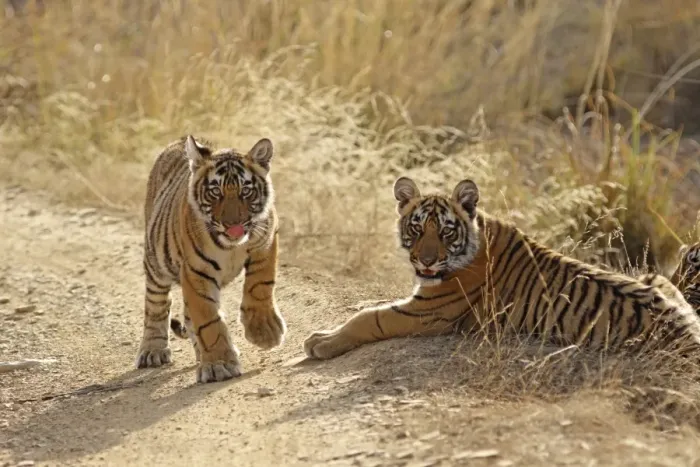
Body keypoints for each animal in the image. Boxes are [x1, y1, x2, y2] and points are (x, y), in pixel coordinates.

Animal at [137, 135, 287, 383]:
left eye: (246, 191)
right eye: (215, 191)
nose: (233, 225)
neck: (232, 247)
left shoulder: (266, 240)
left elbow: (260, 285)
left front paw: (264, 332)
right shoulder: (196, 272)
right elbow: (208, 320)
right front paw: (219, 365)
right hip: (156, 263)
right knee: (157, 304)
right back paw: (153, 351)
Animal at [303, 177, 700, 360]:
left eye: (445, 230)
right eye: (416, 228)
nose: (426, 261)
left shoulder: (428, 312)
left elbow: (371, 318)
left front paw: (320, 342)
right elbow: (369, 307)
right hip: (656, 278)